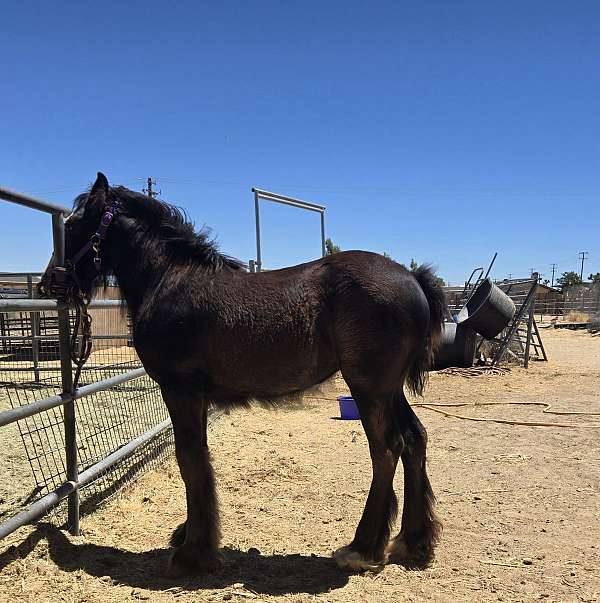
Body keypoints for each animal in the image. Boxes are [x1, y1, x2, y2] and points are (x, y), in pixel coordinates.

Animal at [41, 173, 446, 576]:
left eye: (73, 224)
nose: (49, 283)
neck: (169, 279)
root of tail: (413, 278)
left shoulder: (180, 390)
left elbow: (189, 459)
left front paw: (193, 552)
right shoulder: (197, 396)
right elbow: (199, 457)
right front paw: (189, 536)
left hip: (369, 389)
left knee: (387, 449)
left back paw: (362, 549)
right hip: (390, 390)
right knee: (415, 438)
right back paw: (412, 543)